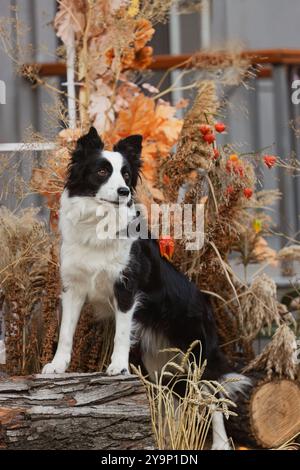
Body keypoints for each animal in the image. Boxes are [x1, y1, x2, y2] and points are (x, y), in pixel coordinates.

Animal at [41, 126, 248, 450]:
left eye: (126, 175)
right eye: (102, 171)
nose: (124, 192)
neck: (98, 223)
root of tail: (206, 303)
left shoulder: (127, 289)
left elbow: (121, 335)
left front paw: (118, 368)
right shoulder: (73, 288)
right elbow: (65, 333)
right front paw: (57, 366)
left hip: (197, 354)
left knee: (212, 395)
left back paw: (220, 443)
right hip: (161, 363)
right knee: (175, 399)